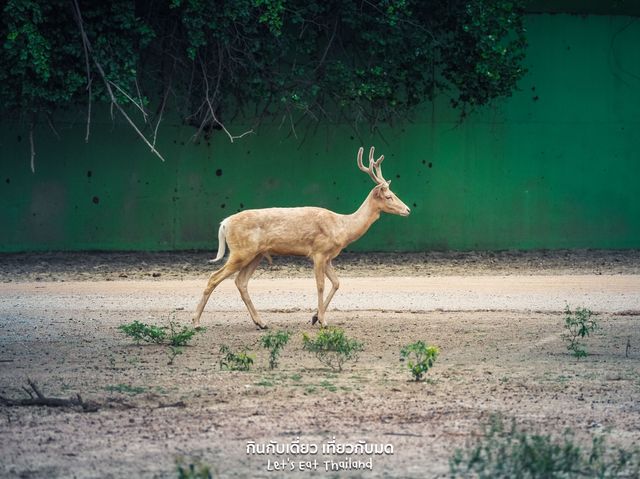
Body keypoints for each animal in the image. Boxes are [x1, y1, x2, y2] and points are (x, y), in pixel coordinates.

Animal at [192, 146, 410, 330]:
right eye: (389, 196)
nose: (407, 209)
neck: (342, 227)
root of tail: (224, 223)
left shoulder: (328, 257)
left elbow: (337, 283)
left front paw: (314, 317)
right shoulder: (318, 252)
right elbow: (321, 285)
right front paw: (323, 321)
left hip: (255, 254)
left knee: (240, 282)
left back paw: (261, 323)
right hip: (240, 252)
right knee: (214, 278)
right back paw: (196, 322)